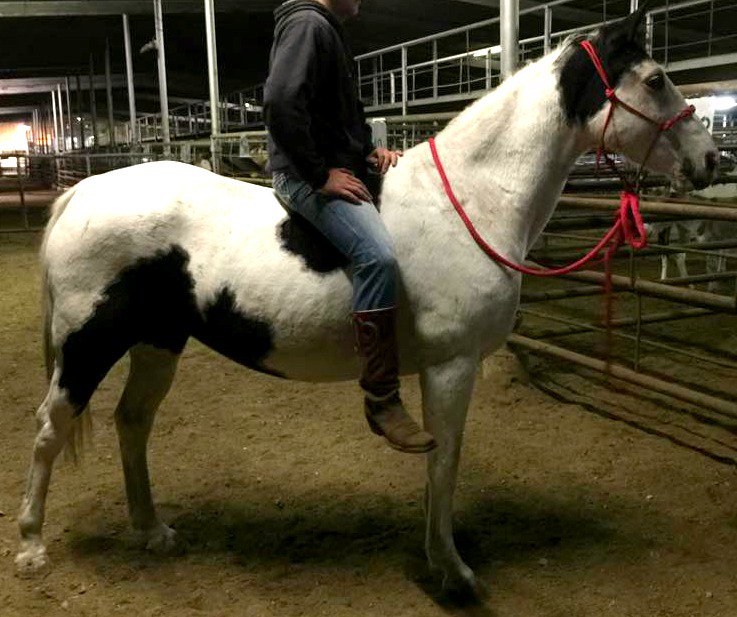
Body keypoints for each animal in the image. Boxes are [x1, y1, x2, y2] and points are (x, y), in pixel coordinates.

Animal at [16, 8, 717, 597]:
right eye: (656, 80)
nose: (711, 160)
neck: (472, 199)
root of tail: (84, 193)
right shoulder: (453, 365)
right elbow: (445, 459)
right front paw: (452, 571)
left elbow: (441, 462)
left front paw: (439, 558)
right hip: (88, 345)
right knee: (50, 429)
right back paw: (31, 548)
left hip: (157, 342)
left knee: (132, 424)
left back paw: (152, 531)